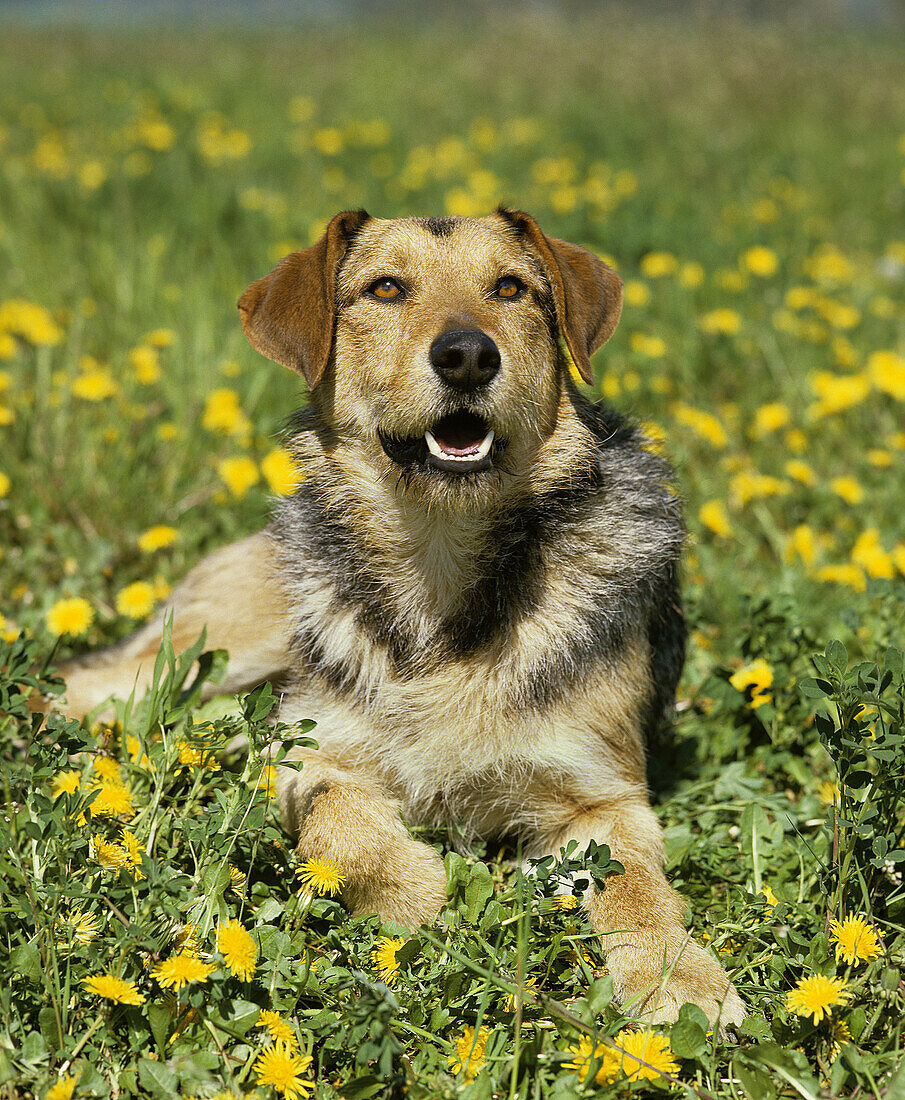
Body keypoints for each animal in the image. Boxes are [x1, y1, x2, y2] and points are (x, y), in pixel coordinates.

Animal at [51, 207, 743, 1029]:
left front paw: (679, 979)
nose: (468, 355)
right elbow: (340, 828)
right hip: (207, 652)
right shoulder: (308, 755)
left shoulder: (603, 797)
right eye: (385, 288)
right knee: (90, 685)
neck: (439, 568)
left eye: (511, 288)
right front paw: (414, 891)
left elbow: (636, 885)